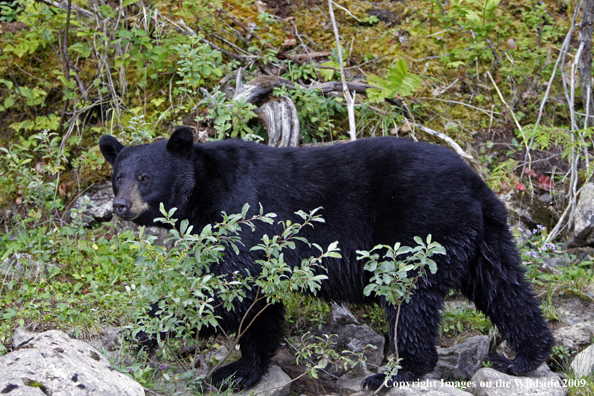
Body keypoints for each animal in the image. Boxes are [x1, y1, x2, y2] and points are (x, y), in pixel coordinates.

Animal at [99, 127, 552, 390]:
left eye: (145, 177)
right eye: (118, 176)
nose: (120, 205)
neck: (203, 189)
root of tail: (476, 184)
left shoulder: (243, 213)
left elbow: (233, 288)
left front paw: (144, 330)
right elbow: (260, 306)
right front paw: (242, 370)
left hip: (419, 230)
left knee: (410, 301)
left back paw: (396, 372)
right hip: (483, 237)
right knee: (505, 288)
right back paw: (524, 357)